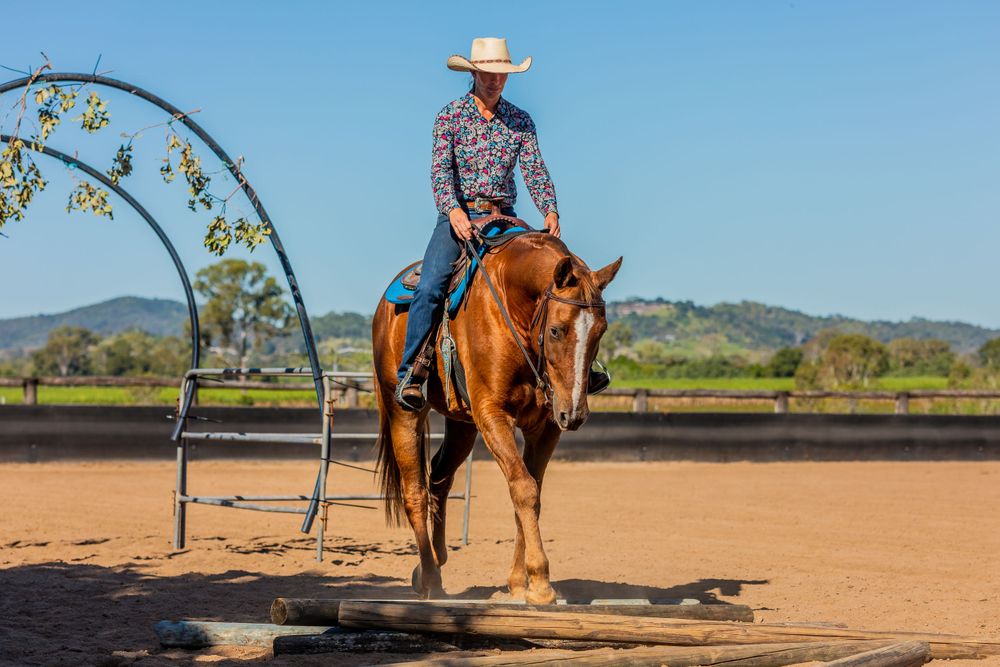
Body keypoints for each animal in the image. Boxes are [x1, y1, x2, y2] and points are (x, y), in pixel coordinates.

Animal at [372, 223, 622, 604]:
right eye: (556, 330)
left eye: (600, 331)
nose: (575, 414)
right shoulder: (493, 414)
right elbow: (523, 488)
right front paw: (541, 582)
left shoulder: (547, 425)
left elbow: (532, 494)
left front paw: (520, 582)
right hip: (403, 412)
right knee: (414, 491)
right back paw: (429, 578)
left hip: (462, 425)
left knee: (439, 478)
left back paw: (434, 564)